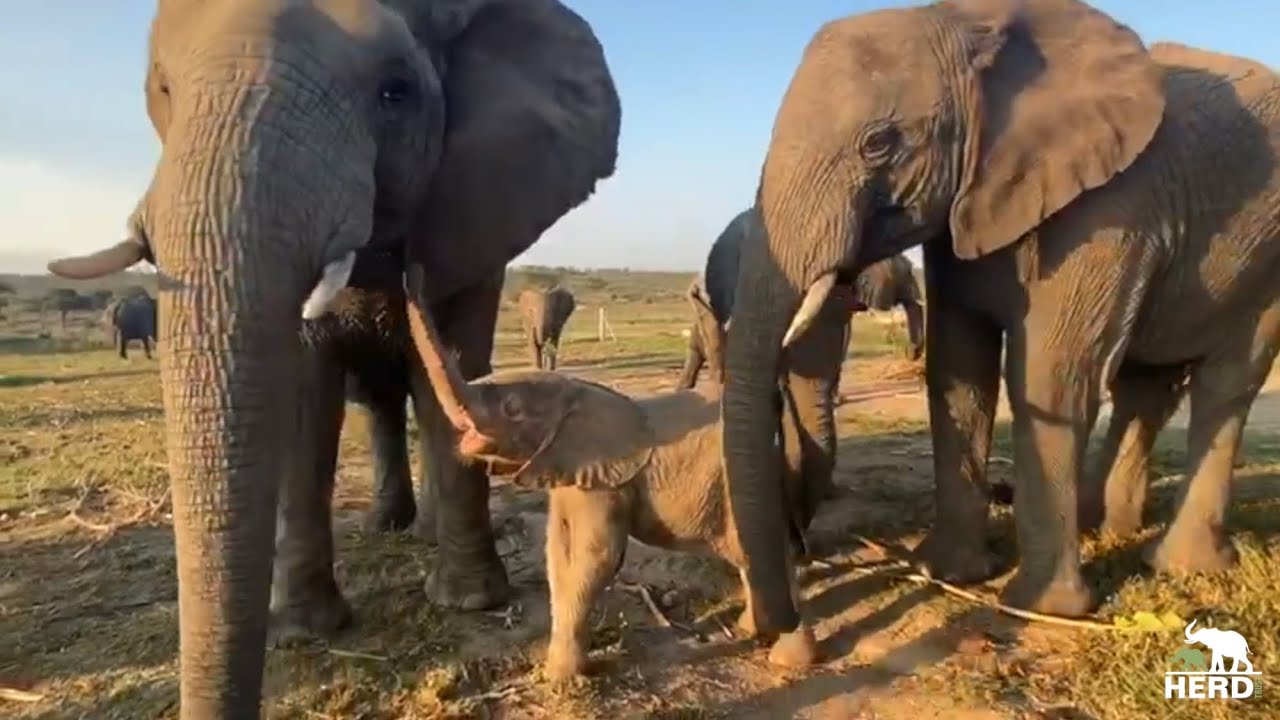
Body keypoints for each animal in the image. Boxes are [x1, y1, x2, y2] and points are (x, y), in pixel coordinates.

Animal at [43, 0, 620, 716]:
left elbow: (450, 364)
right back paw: (387, 525)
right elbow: (304, 402)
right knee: (379, 402)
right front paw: (302, 631)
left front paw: (469, 604)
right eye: (163, 90)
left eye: (396, 93)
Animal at [400, 265, 820, 677]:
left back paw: (788, 660)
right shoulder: (570, 473)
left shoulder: (607, 482)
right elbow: (558, 550)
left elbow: (595, 557)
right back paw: (750, 630)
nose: (413, 272)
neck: (576, 393)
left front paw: (562, 678)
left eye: (513, 408)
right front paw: (560, 669)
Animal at [715, 0, 1280, 642]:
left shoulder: (1110, 206)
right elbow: (959, 371)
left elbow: (1049, 379)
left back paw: (1183, 565)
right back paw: (1104, 527)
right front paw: (948, 572)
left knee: (1226, 383)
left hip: (1266, 257)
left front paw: (1045, 607)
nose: (783, 628)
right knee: (1146, 388)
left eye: (878, 143)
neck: (970, 21)